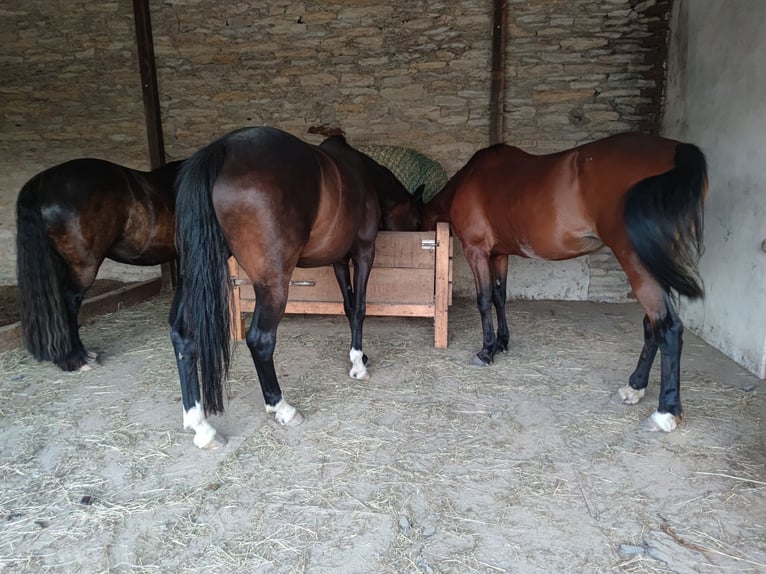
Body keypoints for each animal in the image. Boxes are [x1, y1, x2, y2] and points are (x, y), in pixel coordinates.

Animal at [168, 126, 422, 449]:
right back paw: (282, 408)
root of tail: (223, 148)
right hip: (274, 284)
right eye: (417, 217)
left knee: (183, 336)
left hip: (193, 275)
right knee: (260, 340)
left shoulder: (338, 261)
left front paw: (358, 355)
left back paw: (201, 426)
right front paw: (359, 365)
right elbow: (360, 307)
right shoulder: (364, 252)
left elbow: (348, 305)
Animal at [421, 132, 708, 433]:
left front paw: (487, 351)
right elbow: (500, 298)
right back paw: (634, 387)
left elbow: (485, 300)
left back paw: (666, 412)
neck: (471, 178)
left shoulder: (477, 252)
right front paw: (502, 342)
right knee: (652, 325)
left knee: (668, 328)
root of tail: (677, 149)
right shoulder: (499, 255)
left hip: (639, 265)